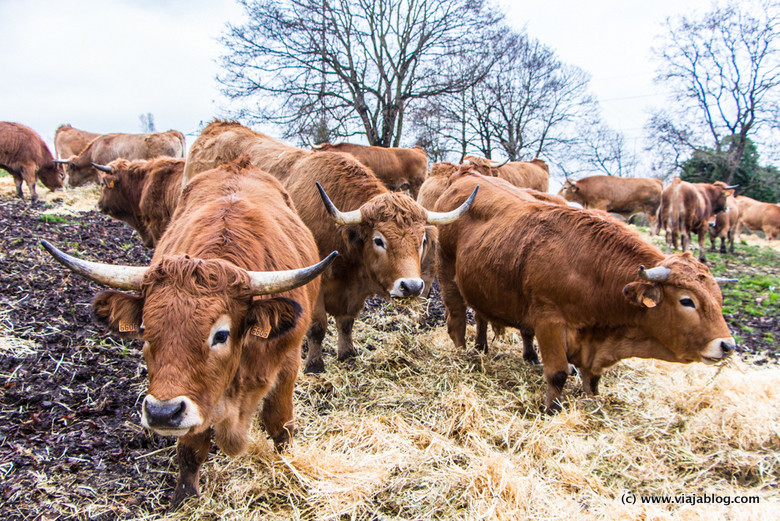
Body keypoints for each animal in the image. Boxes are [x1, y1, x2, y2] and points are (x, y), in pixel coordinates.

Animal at [42, 157, 336, 508]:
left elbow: (280, 425)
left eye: (221, 335)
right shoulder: (197, 396)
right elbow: (191, 448)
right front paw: (184, 498)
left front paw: (286, 468)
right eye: (144, 329)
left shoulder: (288, 361)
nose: (161, 413)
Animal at [184, 121, 476, 374]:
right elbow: (317, 327)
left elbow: (346, 323)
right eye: (379, 240)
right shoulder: (314, 283)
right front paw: (314, 364)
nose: (412, 287)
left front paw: (347, 354)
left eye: (421, 240)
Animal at [438, 173, 736, 412]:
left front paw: (592, 402)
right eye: (687, 301)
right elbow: (558, 373)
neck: (591, 270)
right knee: (457, 318)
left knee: (483, 316)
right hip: (449, 275)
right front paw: (552, 409)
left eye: (719, 300)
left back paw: (489, 348)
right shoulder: (549, 322)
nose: (728, 345)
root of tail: (467, 176)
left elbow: (592, 379)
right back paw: (465, 352)